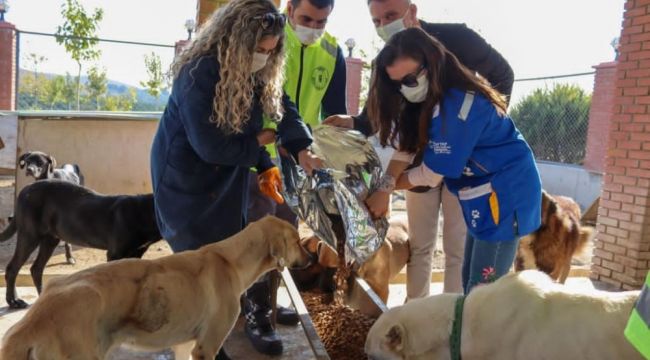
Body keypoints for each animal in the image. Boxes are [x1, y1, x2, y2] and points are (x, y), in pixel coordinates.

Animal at [0, 179, 161, 308]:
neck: (143, 213)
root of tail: (25, 190)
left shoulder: (137, 252)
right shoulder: (115, 254)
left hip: (50, 239)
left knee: (36, 268)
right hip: (30, 235)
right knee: (12, 268)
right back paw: (13, 302)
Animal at [0, 215, 310, 358]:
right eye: (297, 241)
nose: (310, 258)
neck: (230, 259)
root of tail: (31, 323)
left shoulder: (185, 346)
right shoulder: (206, 347)